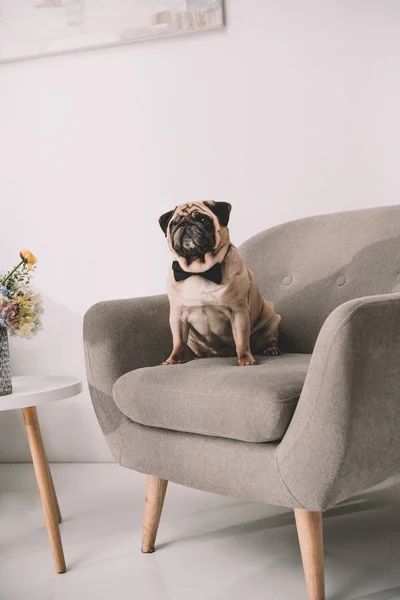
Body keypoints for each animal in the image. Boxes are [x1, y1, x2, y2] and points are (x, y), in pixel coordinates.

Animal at [158, 200, 280, 366]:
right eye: (173, 224)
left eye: (204, 220)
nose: (185, 224)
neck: (199, 271)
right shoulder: (177, 317)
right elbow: (177, 343)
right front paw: (173, 360)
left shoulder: (238, 312)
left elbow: (242, 341)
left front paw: (245, 359)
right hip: (193, 340)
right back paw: (201, 356)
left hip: (271, 318)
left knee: (268, 339)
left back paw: (271, 349)